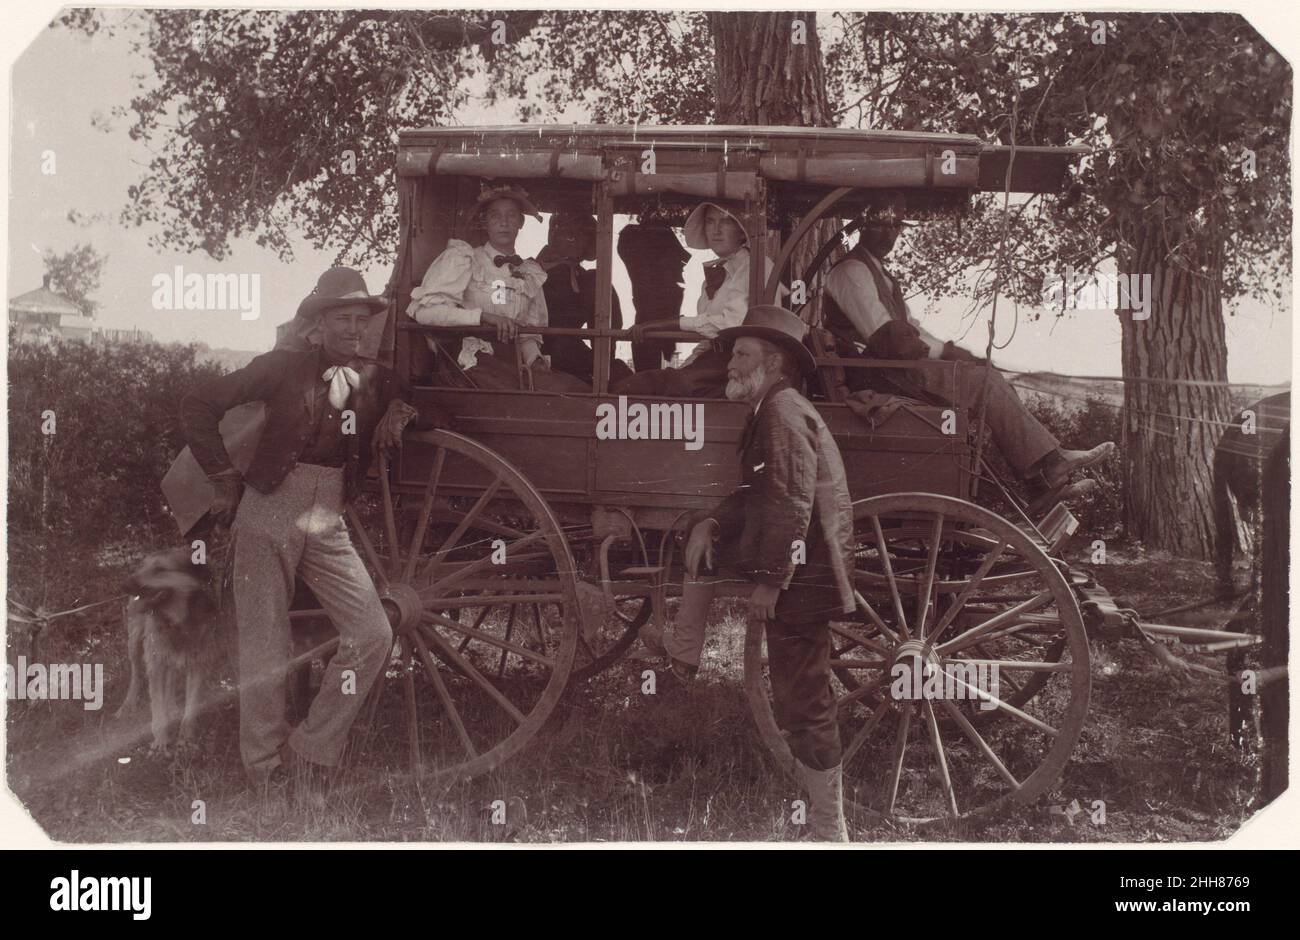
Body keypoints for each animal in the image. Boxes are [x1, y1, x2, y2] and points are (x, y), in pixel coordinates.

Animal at [116, 548, 231, 754]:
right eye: (143, 567)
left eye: (160, 569)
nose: (124, 584)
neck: (178, 620)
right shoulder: (155, 662)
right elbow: (157, 705)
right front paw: (161, 740)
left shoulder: (198, 662)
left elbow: (191, 705)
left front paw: (186, 738)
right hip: (135, 642)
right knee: (136, 674)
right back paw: (128, 705)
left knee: (170, 678)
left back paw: (172, 706)